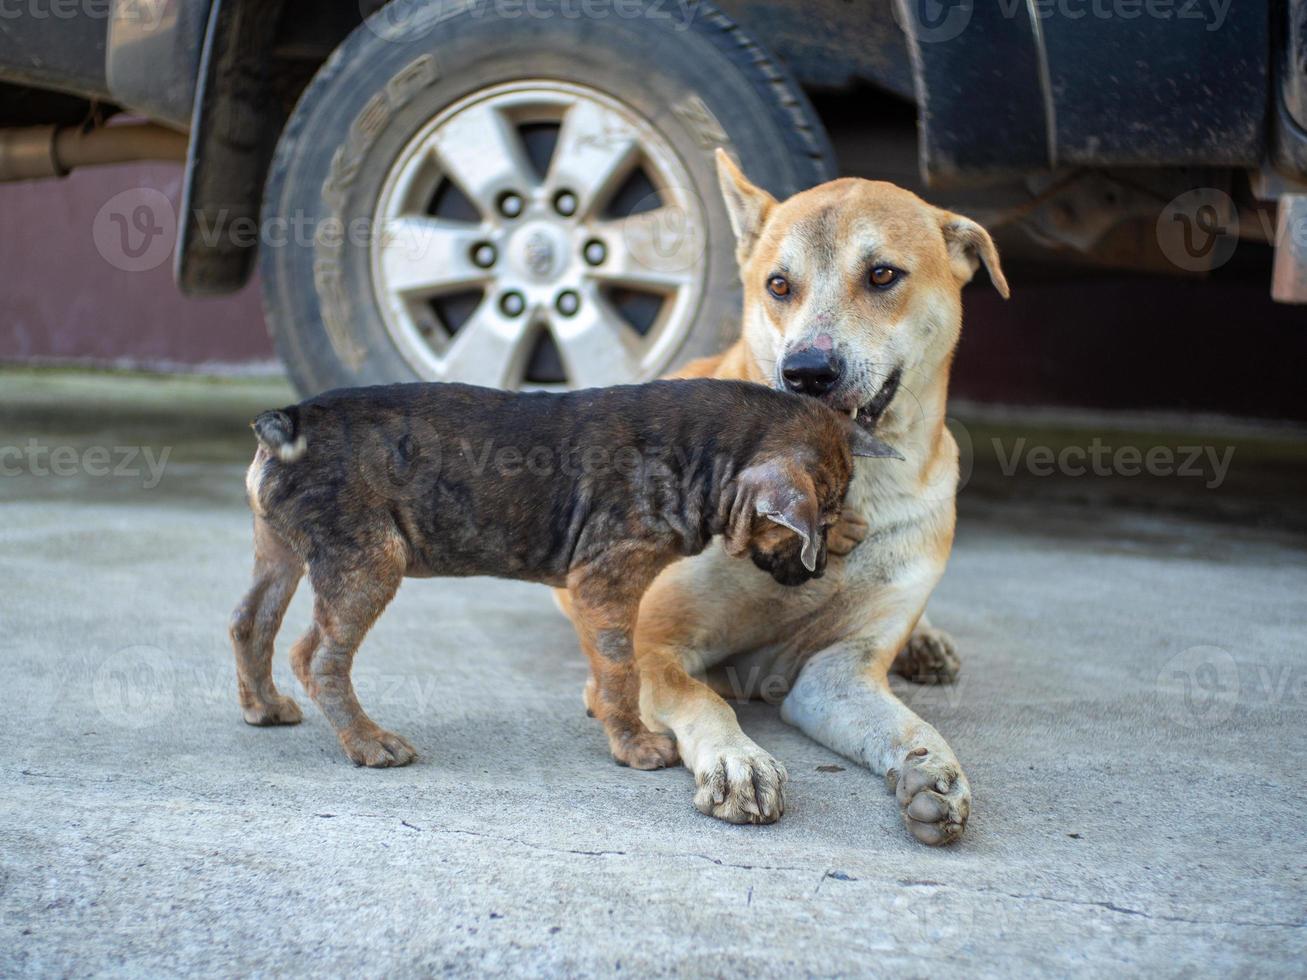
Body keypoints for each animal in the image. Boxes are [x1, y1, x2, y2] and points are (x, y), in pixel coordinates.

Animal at [227, 378, 899, 773]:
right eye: (814, 522)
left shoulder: (596, 591)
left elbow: (607, 663)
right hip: (368, 562)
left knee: (249, 624)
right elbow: (622, 667)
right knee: (317, 656)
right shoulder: (605, 581)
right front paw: (635, 745)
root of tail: (288, 417)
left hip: (278, 550)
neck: (703, 454)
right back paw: (368, 744)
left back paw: (264, 708)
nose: (823, 565)